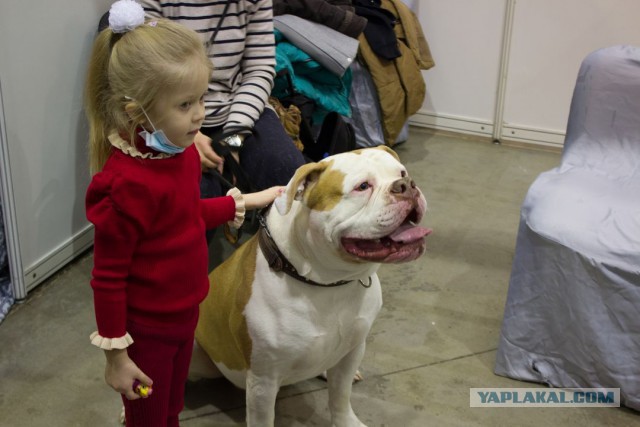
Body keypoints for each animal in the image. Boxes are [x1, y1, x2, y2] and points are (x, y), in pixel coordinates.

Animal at [191, 145, 430, 426]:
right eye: (362, 186)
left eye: (401, 173)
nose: (407, 185)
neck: (328, 281)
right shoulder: (263, 381)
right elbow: (263, 419)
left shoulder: (353, 349)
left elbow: (340, 396)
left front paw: (346, 421)